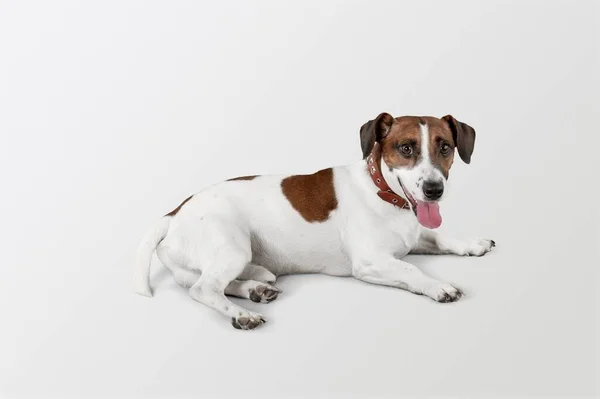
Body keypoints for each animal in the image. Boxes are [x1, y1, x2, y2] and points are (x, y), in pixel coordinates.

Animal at [134, 113, 494, 332]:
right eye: (406, 148)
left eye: (445, 147)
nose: (434, 190)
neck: (382, 191)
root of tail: (174, 213)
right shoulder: (371, 261)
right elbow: (411, 270)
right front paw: (438, 286)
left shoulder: (416, 235)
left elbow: (443, 238)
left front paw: (473, 244)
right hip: (231, 248)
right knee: (203, 288)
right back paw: (243, 314)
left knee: (214, 282)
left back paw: (255, 289)